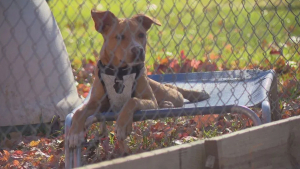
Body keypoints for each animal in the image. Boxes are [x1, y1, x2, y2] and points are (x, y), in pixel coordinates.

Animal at [67, 9, 210, 152]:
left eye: (141, 34)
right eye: (119, 37)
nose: (138, 50)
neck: (120, 72)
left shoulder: (149, 99)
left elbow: (132, 100)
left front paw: (122, 124)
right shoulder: (97, 103)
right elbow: (79, 111)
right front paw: (74, 133)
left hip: (168, 94)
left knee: (174, 89)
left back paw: (196, 95)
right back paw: (166, 104)